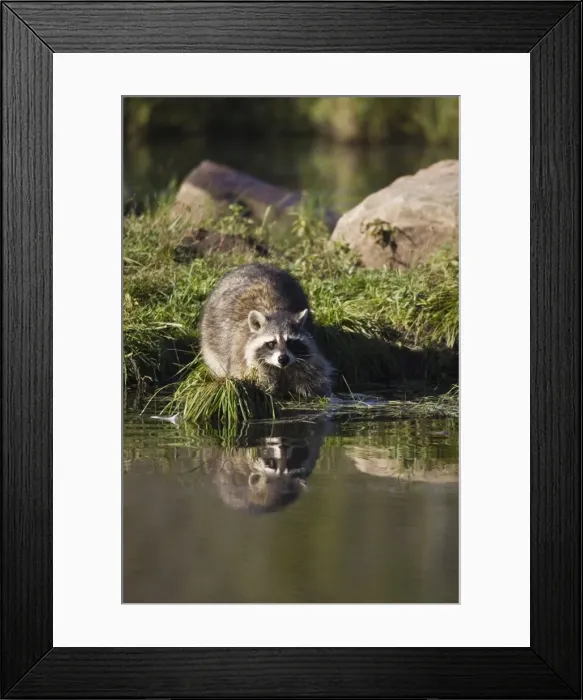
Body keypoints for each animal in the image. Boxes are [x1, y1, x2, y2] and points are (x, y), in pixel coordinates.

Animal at [200, 263, 332, 397]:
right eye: (271, 343)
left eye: (291, 342)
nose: (283, 359)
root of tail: (253, 264)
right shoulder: (242, 359)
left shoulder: (308, 359)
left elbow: (315, 376)